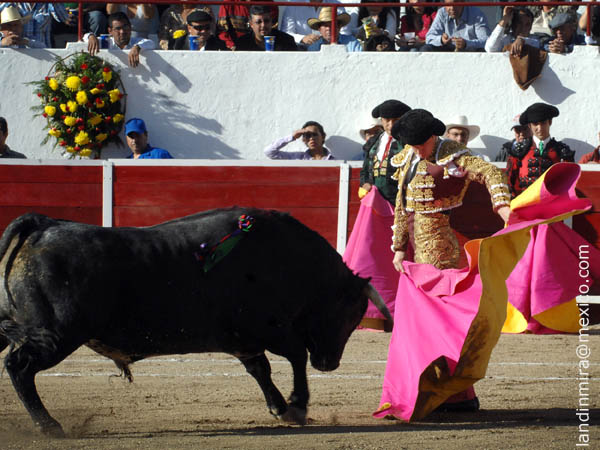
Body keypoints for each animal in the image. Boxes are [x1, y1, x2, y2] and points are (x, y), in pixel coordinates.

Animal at [0, 207, 392, 436]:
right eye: (350, 312)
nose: (329, 363)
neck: (294, 262)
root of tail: (42, 225)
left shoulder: (243, 340)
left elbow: (261, 370)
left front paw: (280, 408)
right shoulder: (271, 330)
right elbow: (294, 358)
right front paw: (296, 405)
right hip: (56, 334)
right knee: (19, 367)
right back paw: (50, 426)